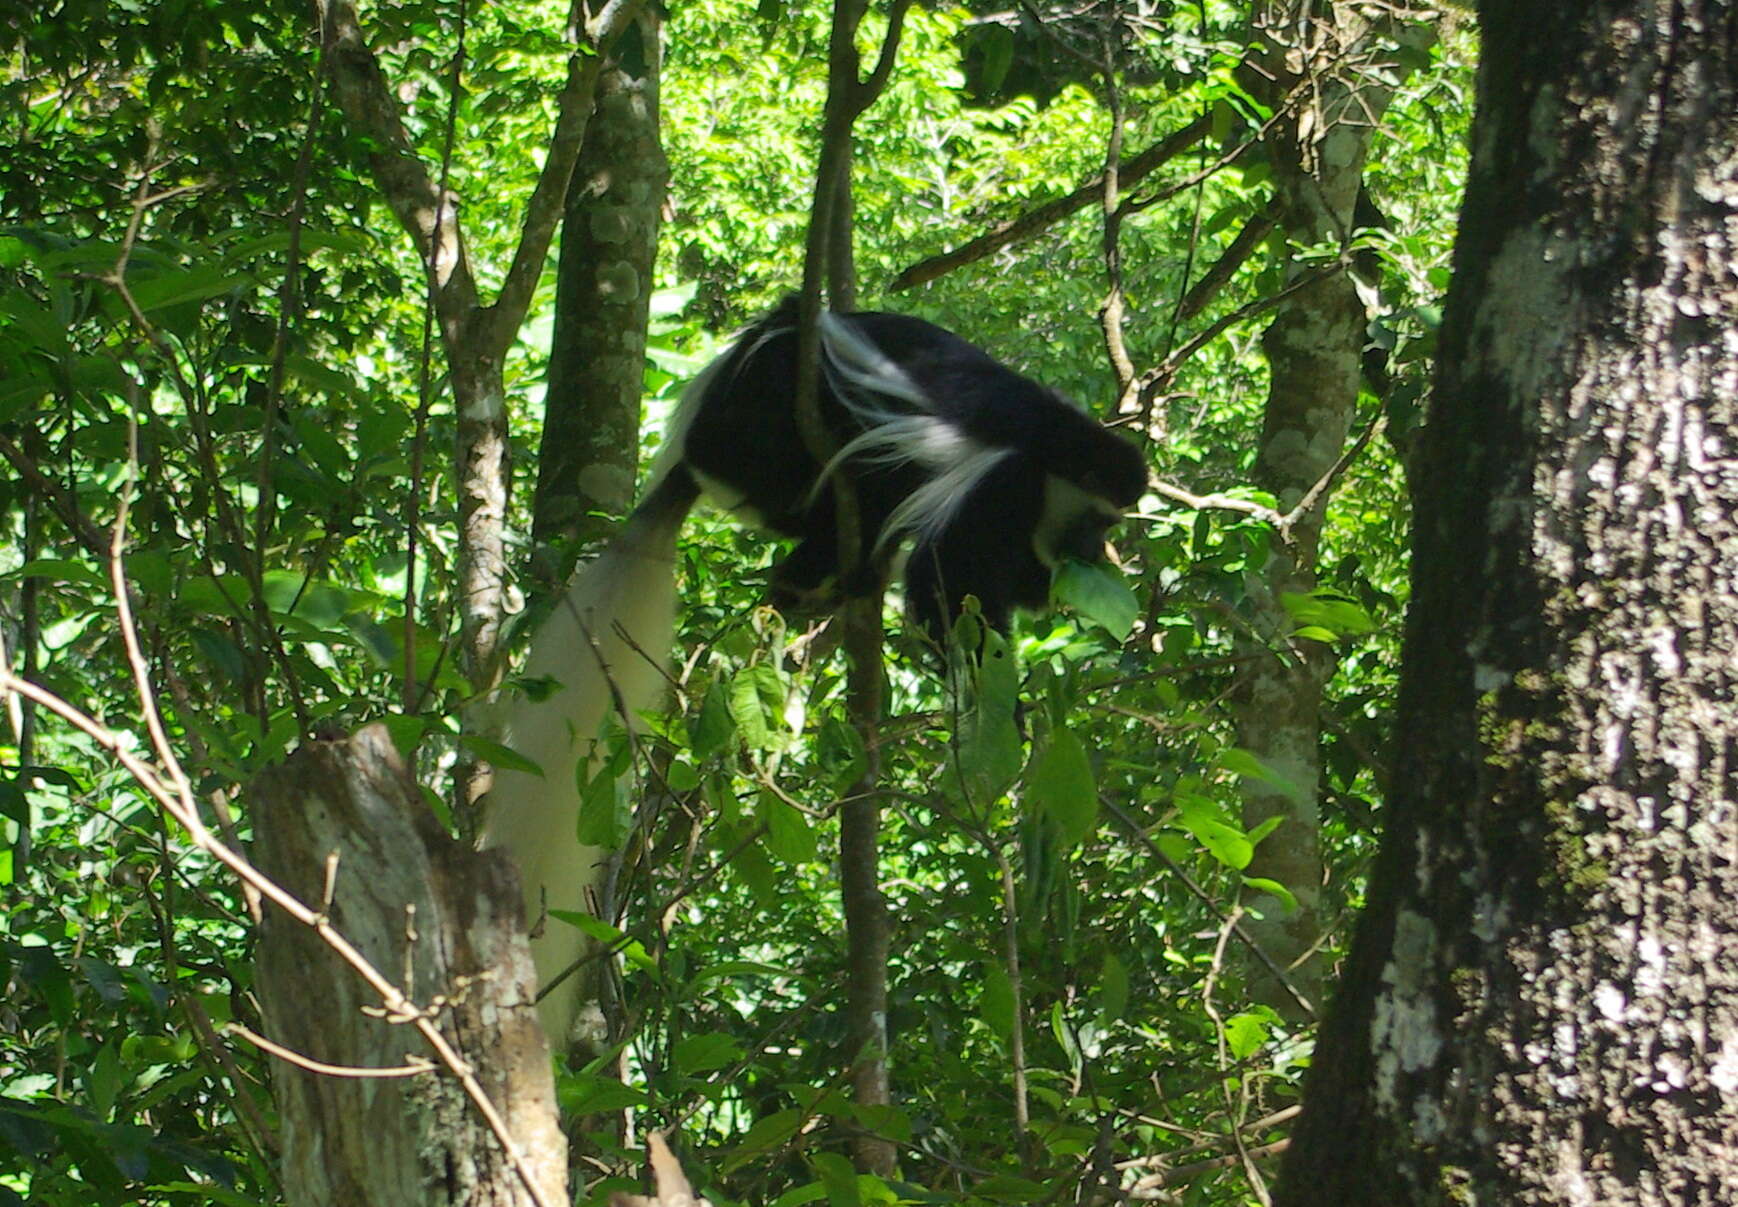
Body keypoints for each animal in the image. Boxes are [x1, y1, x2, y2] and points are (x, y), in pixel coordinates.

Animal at [483, 295, 1147, 1050]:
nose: (1099, 551)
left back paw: (815, 578)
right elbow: (943, 584)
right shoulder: (1001, 485)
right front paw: (1000, 715)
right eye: (1097, 520)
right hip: (759, 429)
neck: (1050, 453)